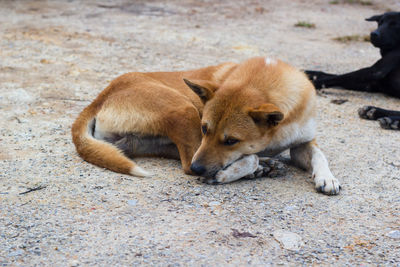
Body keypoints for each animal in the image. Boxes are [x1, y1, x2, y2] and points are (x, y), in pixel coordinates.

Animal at [72, 57, 340, 195]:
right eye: (204, 129)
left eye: (231, 140)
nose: (200, 169)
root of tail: (100, 97)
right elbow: (249, 157)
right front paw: (231, 171)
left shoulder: (303, 141)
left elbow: (319, 155)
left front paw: (327, 178)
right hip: (184, 109)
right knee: (187, 162)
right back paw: (255, 168)